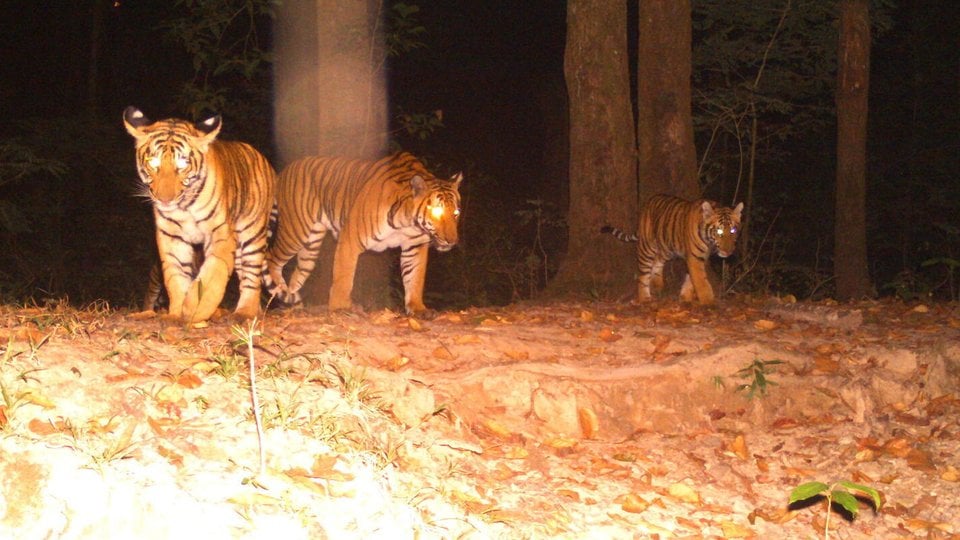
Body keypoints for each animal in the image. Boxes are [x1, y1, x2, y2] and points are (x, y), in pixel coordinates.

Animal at [123, 107, 276, 323]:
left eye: (182, 165)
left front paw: (196, 309)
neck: (184, 207)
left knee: (252, 275)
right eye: (153, 162)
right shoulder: (171, 237)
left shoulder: (221, 234)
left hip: (252, 233)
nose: (165, 199)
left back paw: (245, 311)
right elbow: (175, 277)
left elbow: (213, 273)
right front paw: (176, 314)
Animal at [264, 151, 462, 315]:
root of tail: (283, 172)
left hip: (310, 246)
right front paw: (340, 307)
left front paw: (418, 308)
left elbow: (415, 278)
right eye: (436, 212)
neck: (408, 223)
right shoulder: (349, 238)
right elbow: (343, 277)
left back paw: (293, 305)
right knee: (271, 258)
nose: (452, 241)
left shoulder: (415, 246)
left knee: (297, 274)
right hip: (294, 233)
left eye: (456, 213)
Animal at [601, 194, 744, 305]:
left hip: (667, 248)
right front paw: (709, 302)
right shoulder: (695, 257)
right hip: (647, 247)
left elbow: (690, 279)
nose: (728, 251)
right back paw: (644, 298)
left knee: (657, 262)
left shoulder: (697, 257)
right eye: (719, 231)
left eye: (733, 230)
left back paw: (657, 285)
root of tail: (647, 204)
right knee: (643, 273)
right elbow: (701, 281)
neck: (709, 243)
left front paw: (685, 298)